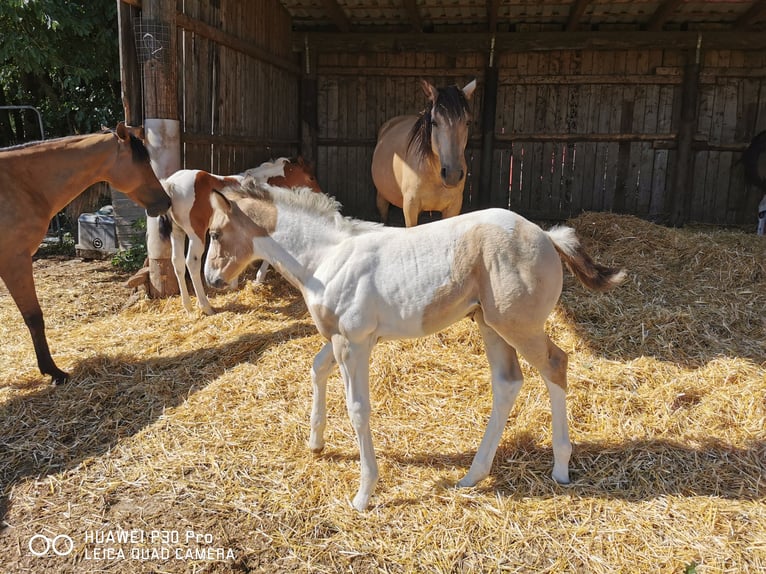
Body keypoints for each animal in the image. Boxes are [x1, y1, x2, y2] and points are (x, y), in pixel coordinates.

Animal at [0, 124, 171, 390]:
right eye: (143, 162)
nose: (166, 201)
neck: (23, 185)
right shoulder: (14, 261)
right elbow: (34, 317)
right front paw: (54, 372)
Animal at [160, 158, 322, 316]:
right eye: (311, 177)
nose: (320, 195)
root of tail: (171, 184)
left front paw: (233, 283)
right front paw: (258, 278)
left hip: (177, 232)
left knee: (178, 263)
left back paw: (188, 307)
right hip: (196, 235)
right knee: (191, 263)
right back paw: (206, 306)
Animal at [206, 181, 632, 512]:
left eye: (213, 233)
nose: (211, 279)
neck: (326, 258)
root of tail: (547, 236)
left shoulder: (354, 343)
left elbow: (358, 409)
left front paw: (363, 494)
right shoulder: (341, 340)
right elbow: (316, 367)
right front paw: (315, 442)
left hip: (518, 325)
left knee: (555, 364)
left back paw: (560, 467)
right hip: (490, 325)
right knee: (508, 382)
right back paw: (473, 475)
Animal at [370, 79, 474, 227]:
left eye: (468, 122)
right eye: (434, 122)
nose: (452, 175)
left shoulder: (453, 207)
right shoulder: (410, 207)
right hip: (381, 195)